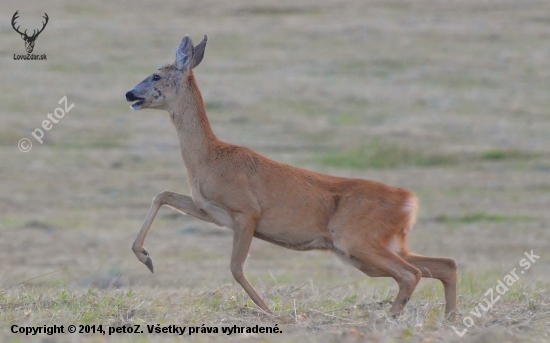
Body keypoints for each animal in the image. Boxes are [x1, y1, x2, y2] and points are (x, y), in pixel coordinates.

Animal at [127, 35, 460, 320]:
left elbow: (235, 267)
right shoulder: (212, 210)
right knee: (445, 264)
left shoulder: (246, 210)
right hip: (376, 247)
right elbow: (163, 195)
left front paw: (269, 311)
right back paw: (448, 318)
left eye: (156, 76)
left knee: (411, 273)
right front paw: (145, 257)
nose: (130, 93)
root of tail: (409, 202)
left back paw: (390, 318)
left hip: (356, 238)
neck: (208, 158)